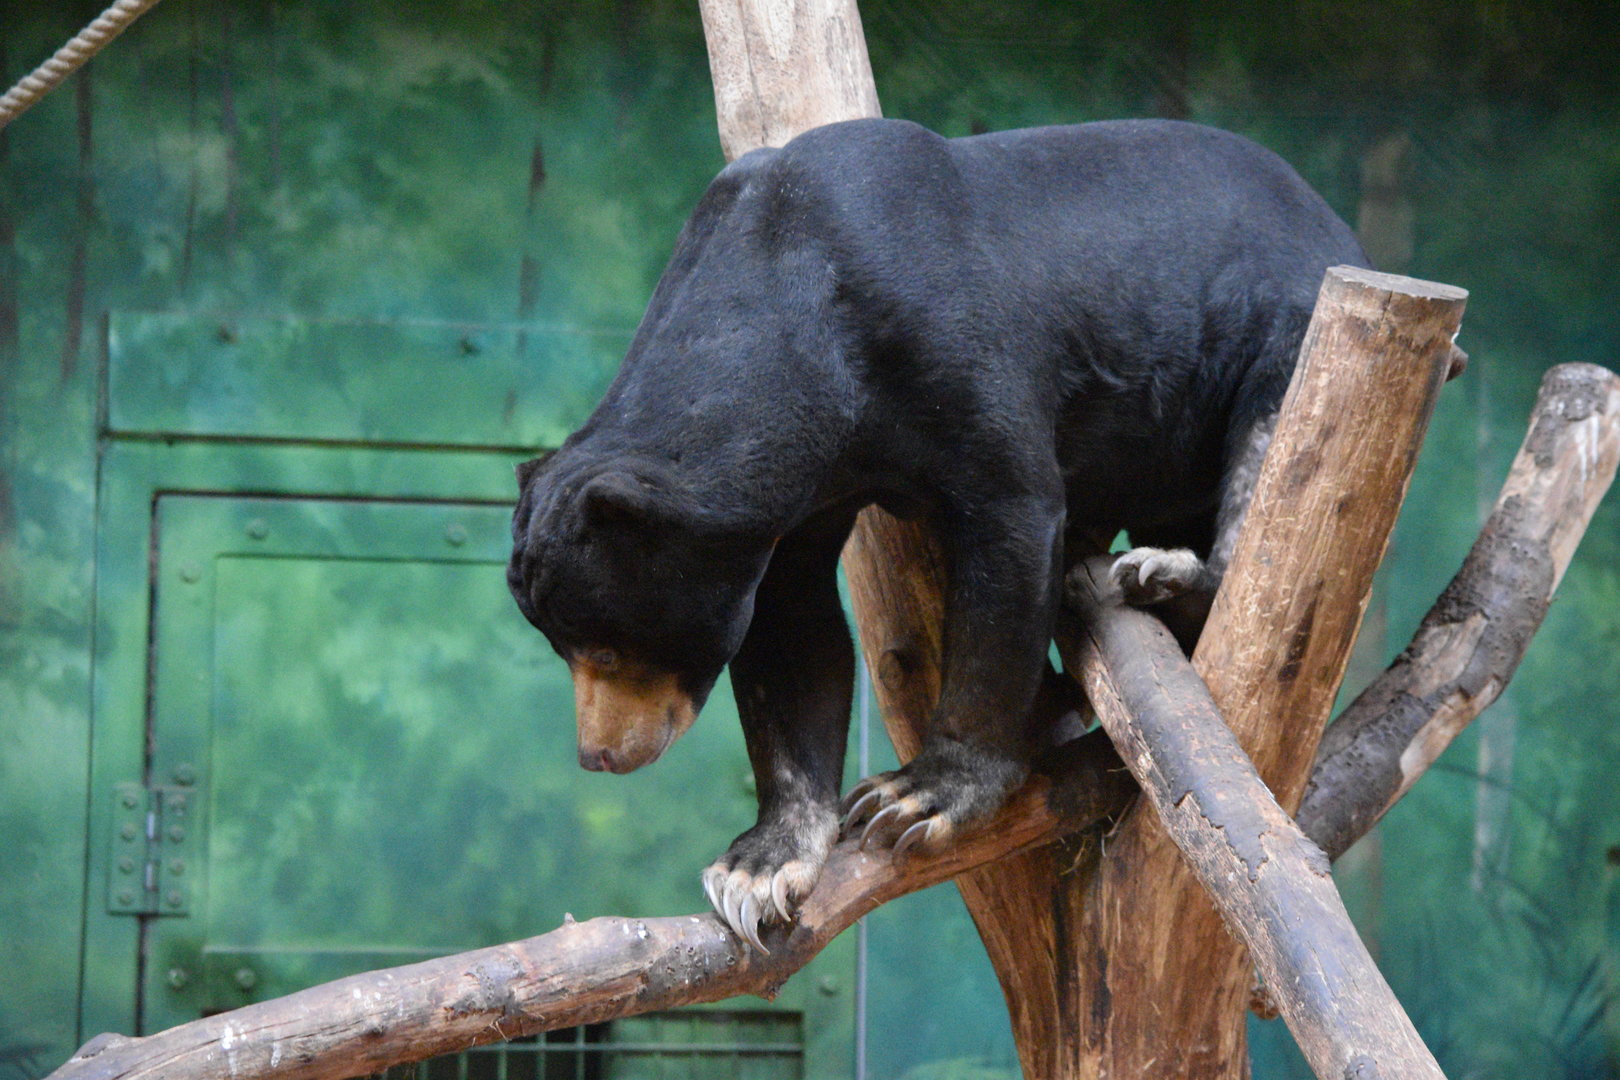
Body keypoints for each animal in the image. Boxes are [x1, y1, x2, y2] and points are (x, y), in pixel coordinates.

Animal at [508, 116, 1370, 951]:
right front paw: (757, 868)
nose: (601, 755)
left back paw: (1162, 573)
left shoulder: (950, 346)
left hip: (1282, 326)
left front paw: (917, 796)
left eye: (607, 649)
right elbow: (792, 629)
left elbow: (1013, 519)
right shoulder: (794, 499)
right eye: (563, 649)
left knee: (1270, 457)